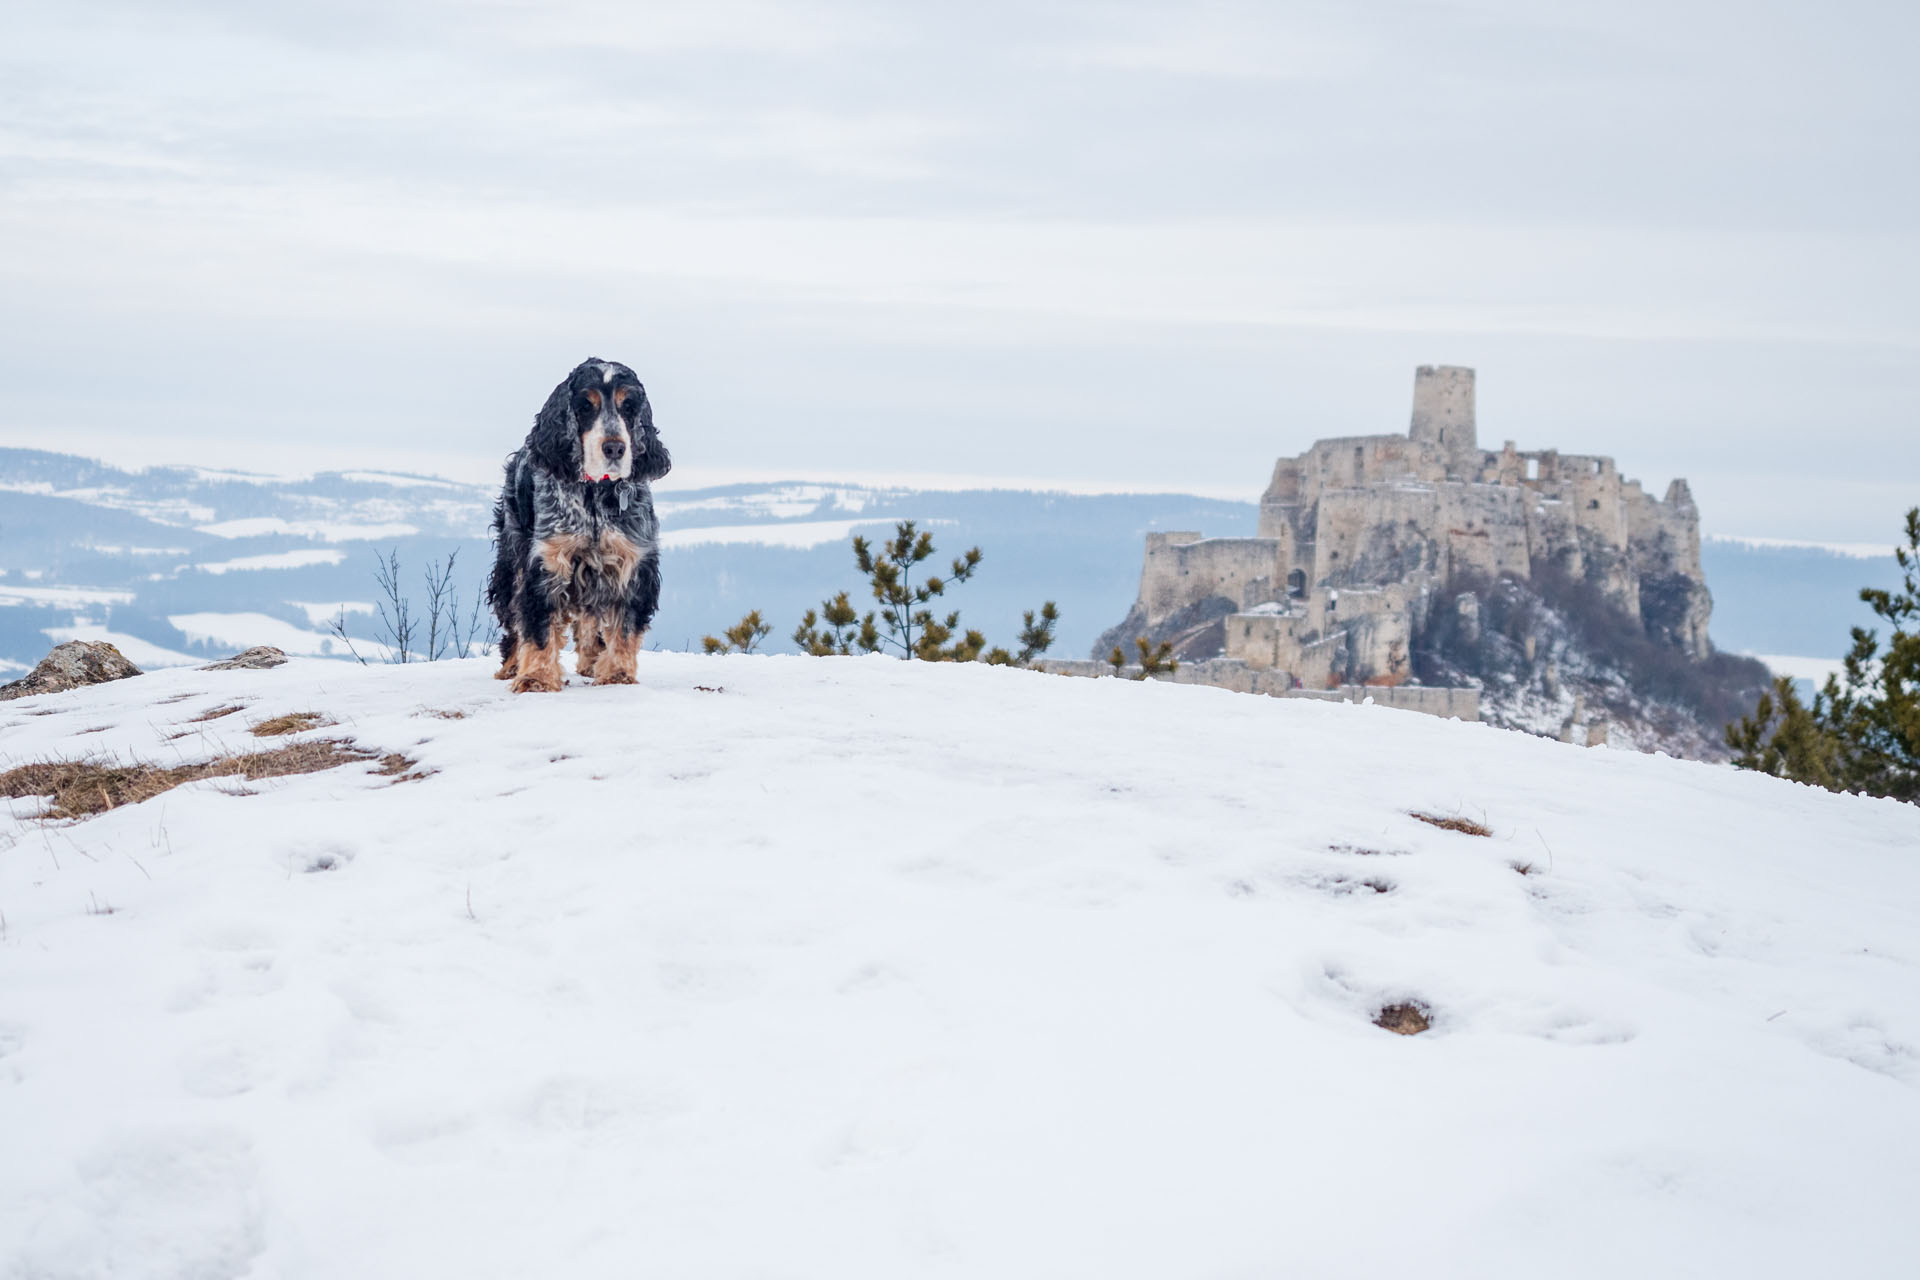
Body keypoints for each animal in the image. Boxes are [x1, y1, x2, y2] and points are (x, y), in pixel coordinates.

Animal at [491, 355, 672, 694]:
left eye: (629, 406)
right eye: (585, 406)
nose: (614, 448)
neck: (595, 494)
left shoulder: (631, 560)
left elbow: (625, 625)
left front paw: (617, 674)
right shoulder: (547, 560)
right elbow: (539, 624)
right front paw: (536, 678)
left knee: (590, 619)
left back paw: (591, 662)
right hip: (510, 556)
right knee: (512, 618)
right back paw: (511, 666)